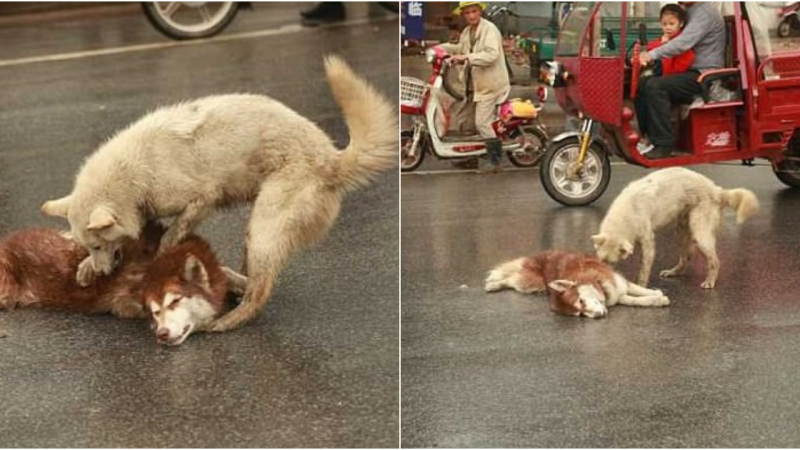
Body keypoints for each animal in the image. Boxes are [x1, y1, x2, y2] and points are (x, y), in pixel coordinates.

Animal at [40, 56, 396, 330]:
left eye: (100, 243)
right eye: (91, 246)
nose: (104, 273)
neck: (132, 175)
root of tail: (332, 159)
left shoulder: (202, 198)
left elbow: (172, 233)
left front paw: (161, 252)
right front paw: (86, 267)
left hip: (264, 227)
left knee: (261, 292)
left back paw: (228, 320)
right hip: (256, 232)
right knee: (251, 279)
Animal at [592, 168, 756, 288]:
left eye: (612, 262)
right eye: (601, 261)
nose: (600, 281)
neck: (626, 215)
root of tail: (717, 189)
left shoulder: (648, 243)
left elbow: (644, 270)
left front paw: (641, 286)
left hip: (700, 235)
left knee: (714, 261)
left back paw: (710, 281)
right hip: (681, 234)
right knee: (686, 258)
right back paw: (673, 272)